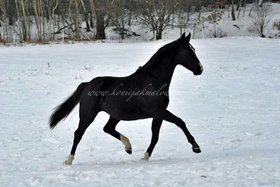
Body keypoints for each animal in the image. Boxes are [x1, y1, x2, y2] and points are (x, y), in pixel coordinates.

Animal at [49, 32, 203, 165]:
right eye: (187, 52)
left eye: (194, 49)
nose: (200, 69)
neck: (153, 80)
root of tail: (87, 84)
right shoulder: (158, 111)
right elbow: (180, 122)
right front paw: (196, 147)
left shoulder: (158, 114)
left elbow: (155, 136)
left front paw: (145, 156)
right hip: (88, 114)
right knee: (79, 134)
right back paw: (69, 160)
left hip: (115, 114)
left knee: (107, 128)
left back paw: (128, 147)